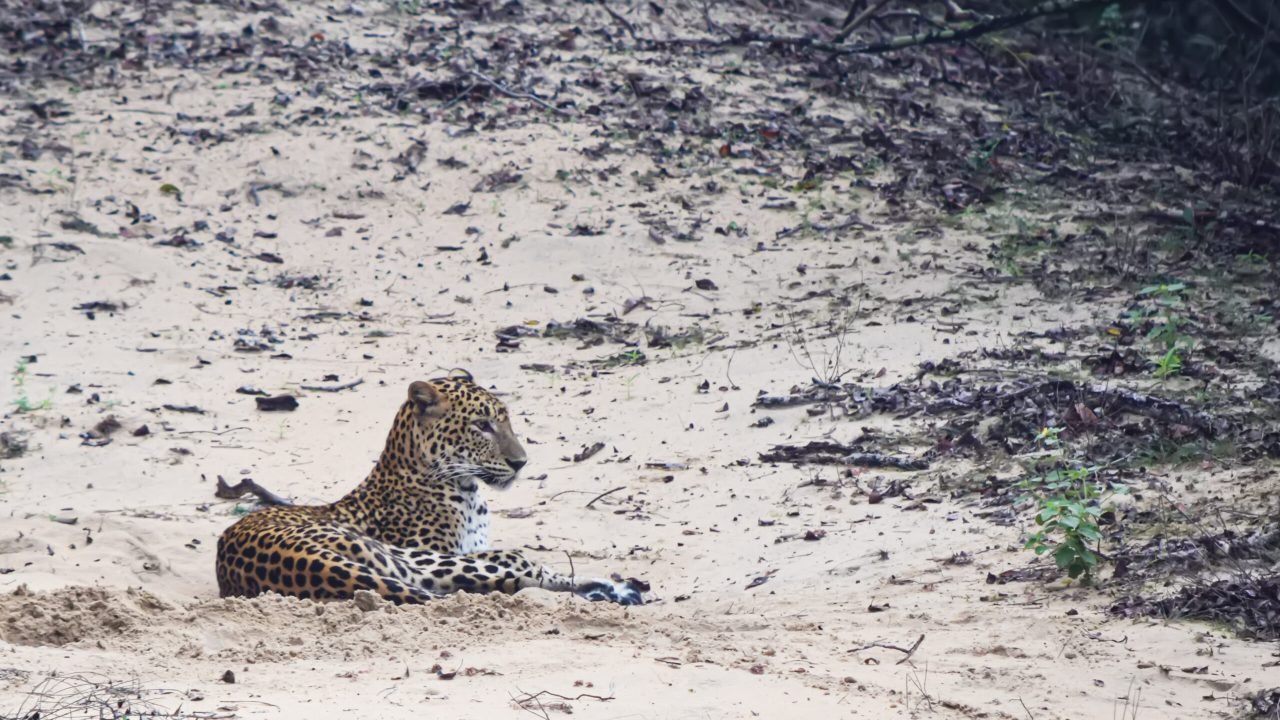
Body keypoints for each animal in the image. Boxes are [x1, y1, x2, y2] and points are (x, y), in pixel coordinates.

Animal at [215, 373, 647, 606]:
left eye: (506, 421)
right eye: (482, 425)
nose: (521, 462)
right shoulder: (446, 551)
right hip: (410, 560)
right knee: (516, 570)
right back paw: (613, 589)